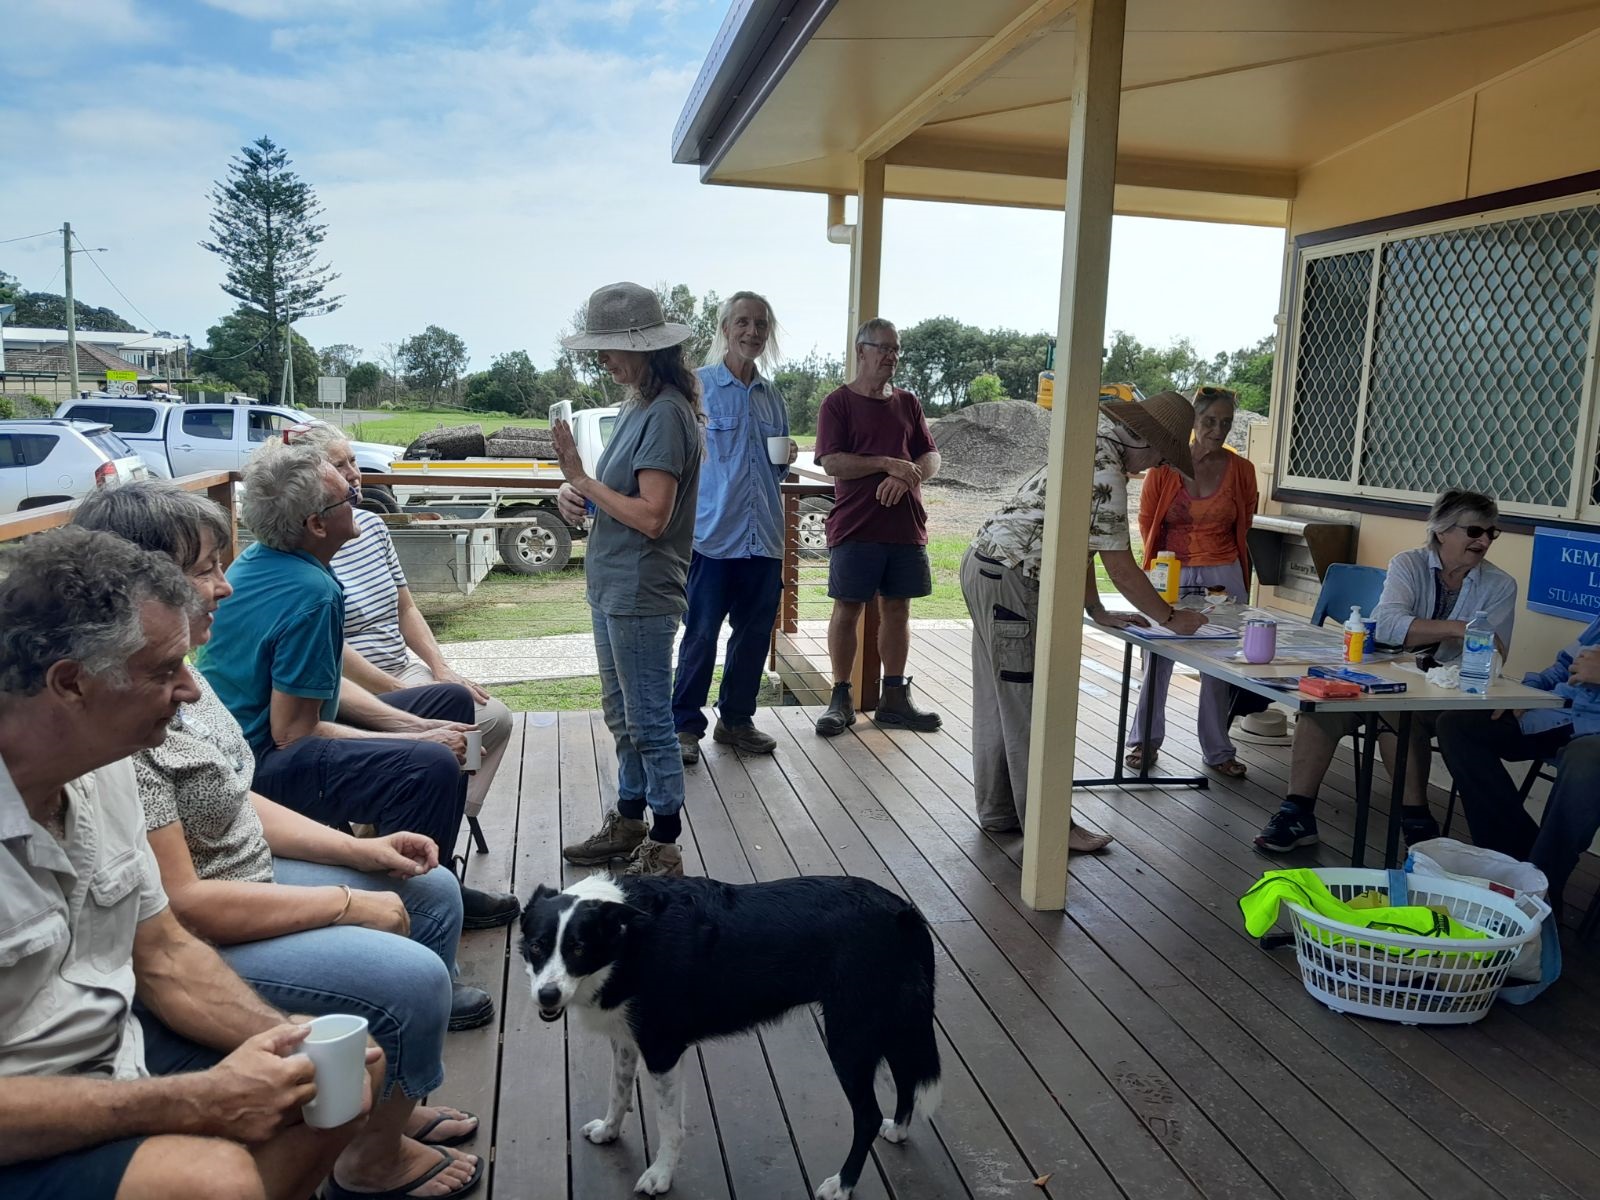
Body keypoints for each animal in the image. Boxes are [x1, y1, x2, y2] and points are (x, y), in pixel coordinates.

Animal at [518, 876, 940, 1200]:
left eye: (577, 948)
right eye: (537, 946)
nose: (547, 996)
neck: (628, 939)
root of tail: (902, 912)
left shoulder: (662, 1050)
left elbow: (669, 1124)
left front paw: (660, 1175)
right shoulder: (625, 1039)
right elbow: (618, 1091)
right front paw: (608, 1131)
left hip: (849, 1037)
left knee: (867, 1116)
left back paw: (843, 1184)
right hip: (892, 1023)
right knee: (907, 1077)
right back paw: (899, 1130)